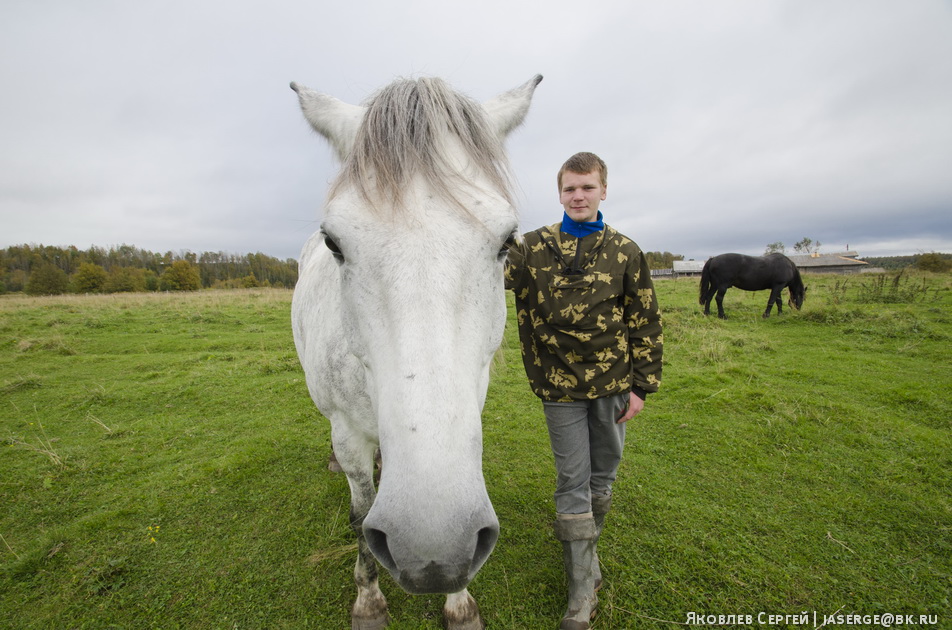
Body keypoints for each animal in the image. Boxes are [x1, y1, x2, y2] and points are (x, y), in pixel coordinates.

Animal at [290, 74, 542, 630]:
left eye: (508, 242)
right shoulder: (348, 434)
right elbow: (361, 516)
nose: (433, 552)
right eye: (334, 243)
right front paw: (368, 601)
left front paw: (460, 603)